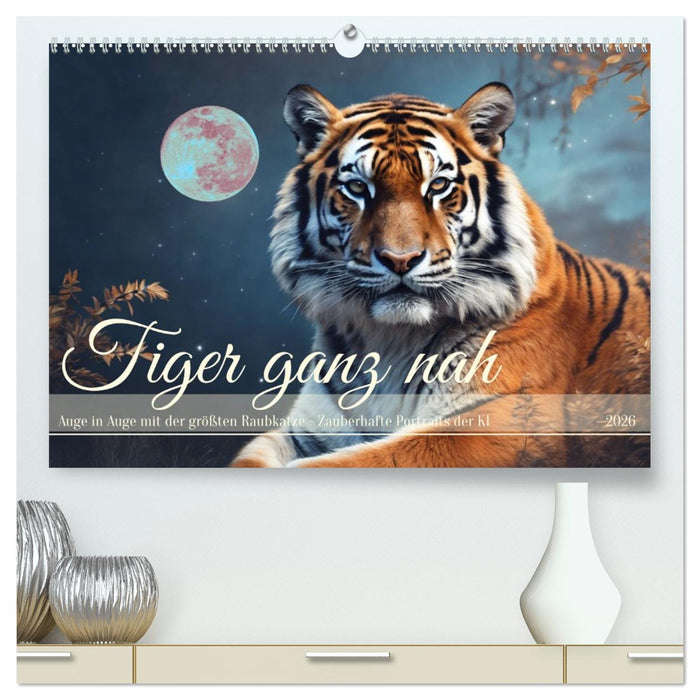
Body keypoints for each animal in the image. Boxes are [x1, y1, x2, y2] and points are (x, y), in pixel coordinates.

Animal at [231, 82, 650, 468]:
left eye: (438, 185)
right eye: (357, 188)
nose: (400, 259)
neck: (390, 340)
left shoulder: (493, 425)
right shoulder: (306, 428)